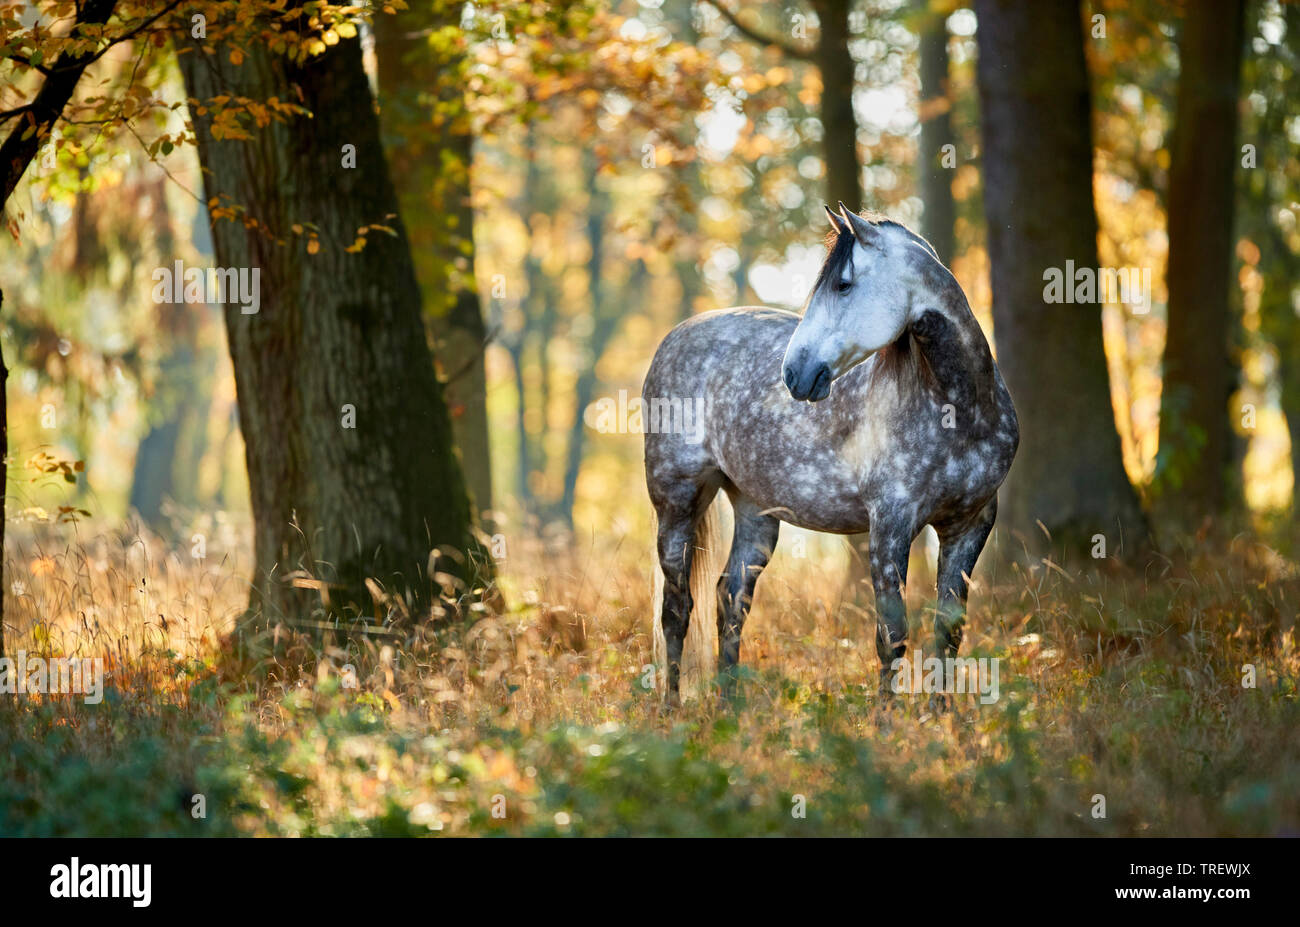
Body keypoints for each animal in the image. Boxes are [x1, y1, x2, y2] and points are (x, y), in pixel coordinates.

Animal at [644, 206, 1019, 707]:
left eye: (843, 284)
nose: (794, 374)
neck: (961, 411)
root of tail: (676, 336)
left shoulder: (970, 525)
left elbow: (948, 632)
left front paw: (942, 717)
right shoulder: (890, 527)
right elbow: (892, 636)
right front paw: (888, 720)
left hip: (754, 511)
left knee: (730, 599)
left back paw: (730, 708)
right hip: (678, 503)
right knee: (676, 608)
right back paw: (670, 709)